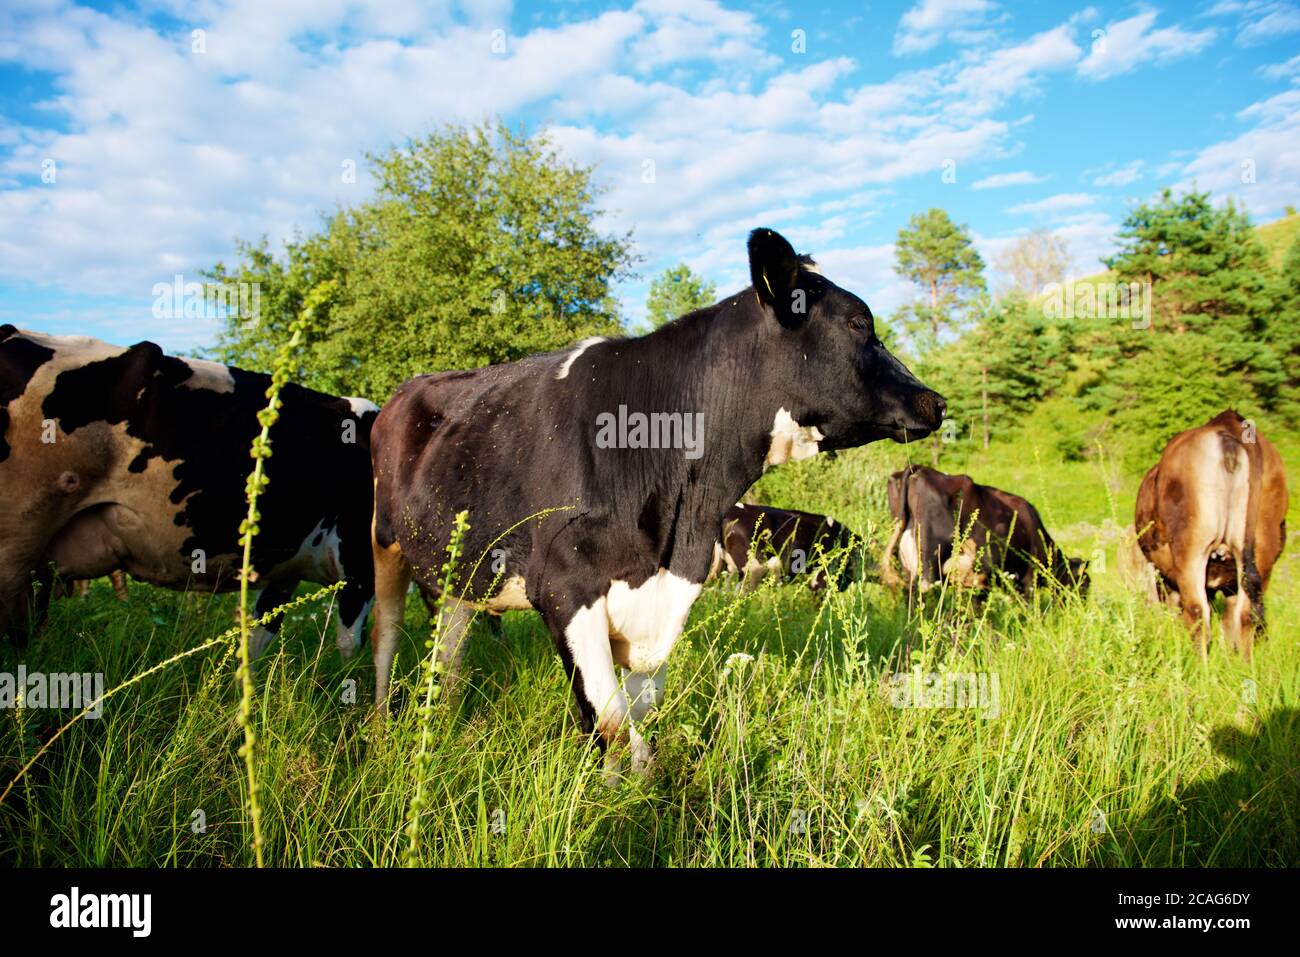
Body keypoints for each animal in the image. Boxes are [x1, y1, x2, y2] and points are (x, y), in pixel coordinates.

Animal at [1134, 410, 1288, 660]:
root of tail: (1229, 424)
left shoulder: (1162, 576)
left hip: (1191, 546)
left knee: (1198, 611)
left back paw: (1199, 666)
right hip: (1262, 544)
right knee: (1247, 613)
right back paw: (1245, 665)